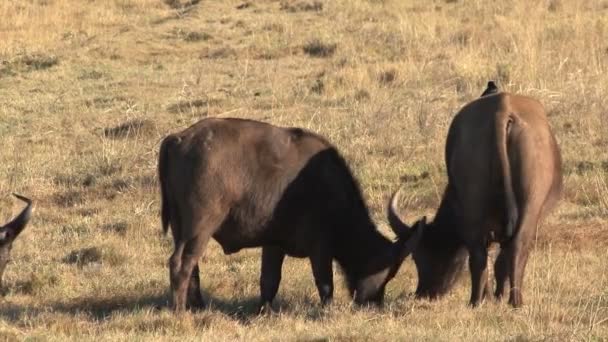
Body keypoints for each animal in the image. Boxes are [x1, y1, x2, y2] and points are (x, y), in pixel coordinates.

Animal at [157, 117, 422, 312]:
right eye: (389, 271)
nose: (374, 304)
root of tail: (179, 139)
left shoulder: (274, 244)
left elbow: (269, 281)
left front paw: (264, 312)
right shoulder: (320, 249)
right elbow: (325, 282)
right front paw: (328, 310)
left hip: (180, 228)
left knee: (193, 267)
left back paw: (198, 307)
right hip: (199, 227)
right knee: (181, 263)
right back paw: (179, 312)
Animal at [392, 91, 564, 308]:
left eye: (418, 257)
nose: (425, 293)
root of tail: (502, 111)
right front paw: (495, 296)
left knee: (489, 253)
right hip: (524, 208)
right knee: (502, 251)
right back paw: (500, 301)